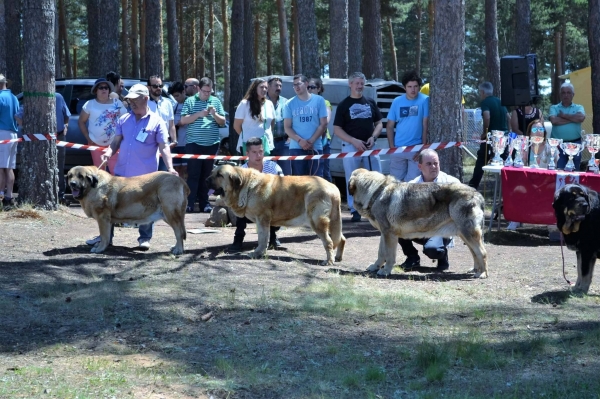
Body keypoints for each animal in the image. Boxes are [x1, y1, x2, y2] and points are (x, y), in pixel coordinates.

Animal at [207, 164, 344, 264]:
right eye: (212, 172)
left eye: (219, 175)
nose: (206, 179)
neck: (246, 185)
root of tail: (333, 187)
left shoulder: (262, 219)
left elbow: (262, 238)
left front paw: (257, 253)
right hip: (333, 222)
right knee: (340, 239)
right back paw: (337, 258)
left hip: (317, 222)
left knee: (329, 242)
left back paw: (329, 261)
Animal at [350, 169, 486, 278]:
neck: (377, 192)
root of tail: (478, 194)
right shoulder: (384, 234)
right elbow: (381, 253)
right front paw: (375, 267)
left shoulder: (389, 235)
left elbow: (389, 256)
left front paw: (385, 271)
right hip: (465, 236)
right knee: (475, 253)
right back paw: (475, 270)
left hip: (469, 234)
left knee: (482, 253)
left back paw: (482, 274)